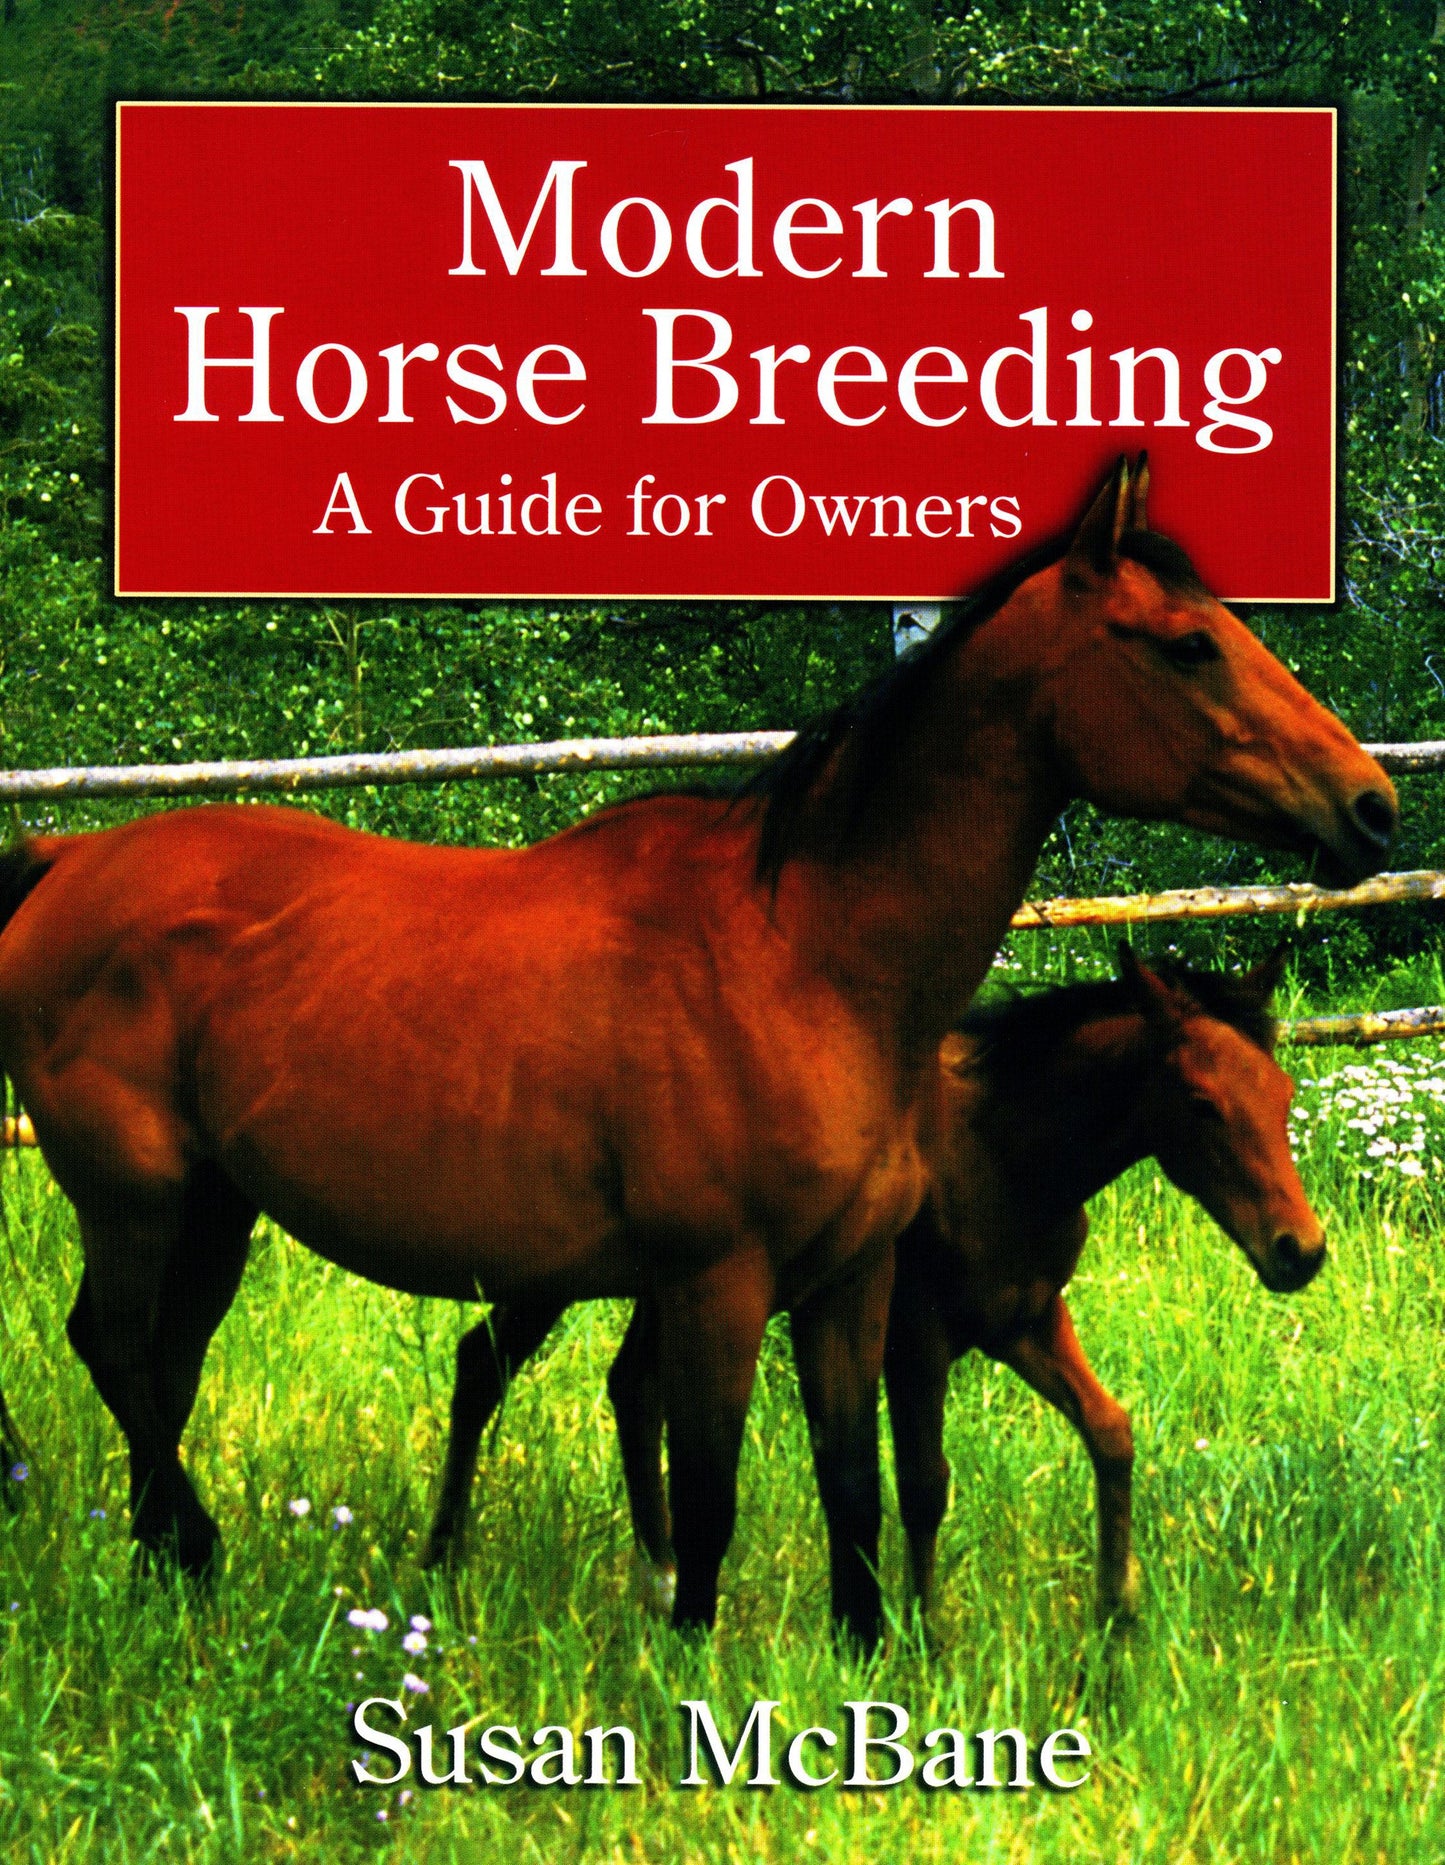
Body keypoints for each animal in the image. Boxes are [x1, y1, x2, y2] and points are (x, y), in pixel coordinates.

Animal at [606, 946, 1316, 1628]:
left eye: (1283, 1092)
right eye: (1202, 1103)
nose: (1301, 1251)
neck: (998, 1154)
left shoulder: (1026, 1319)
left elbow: (1111, 1432)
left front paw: (1117, 1609)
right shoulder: (916, 1341)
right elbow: (923, 1484)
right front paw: (926, 1635)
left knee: (632, 1384)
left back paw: (659, 1582)